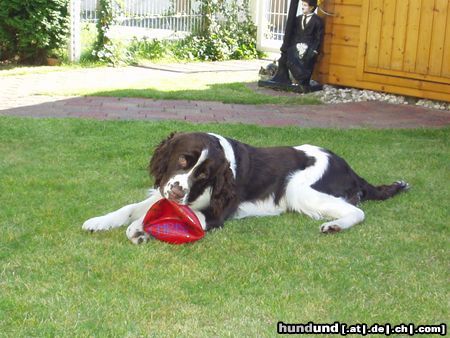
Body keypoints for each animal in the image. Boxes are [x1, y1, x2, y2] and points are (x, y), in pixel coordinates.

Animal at [81, 131, 408, 244]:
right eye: (183, 160)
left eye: (204, 174)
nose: (176, 192)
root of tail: (351, 169)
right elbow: (131, 208)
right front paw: (99, 221)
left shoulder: (215, 214)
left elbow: (157, 218)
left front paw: (139, 229)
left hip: (297, 187)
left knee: (358, 211)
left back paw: (336, 225)